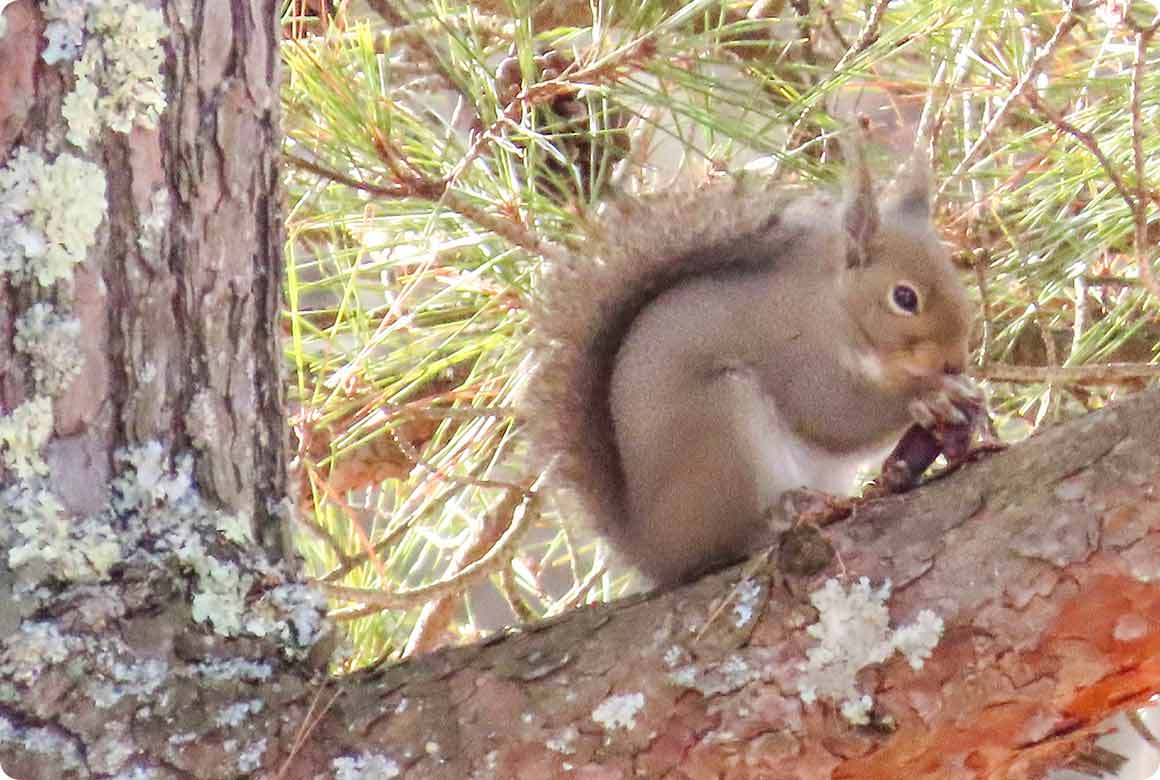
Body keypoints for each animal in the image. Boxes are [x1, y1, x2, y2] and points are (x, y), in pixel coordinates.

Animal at [526, 154, 979, 585]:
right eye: (904, 297)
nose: (955, 361)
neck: (833, 303)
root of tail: (653, 552)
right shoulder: (791, 351)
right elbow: (833, 416)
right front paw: (928, 396)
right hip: (720, 429)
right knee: (726, 542)